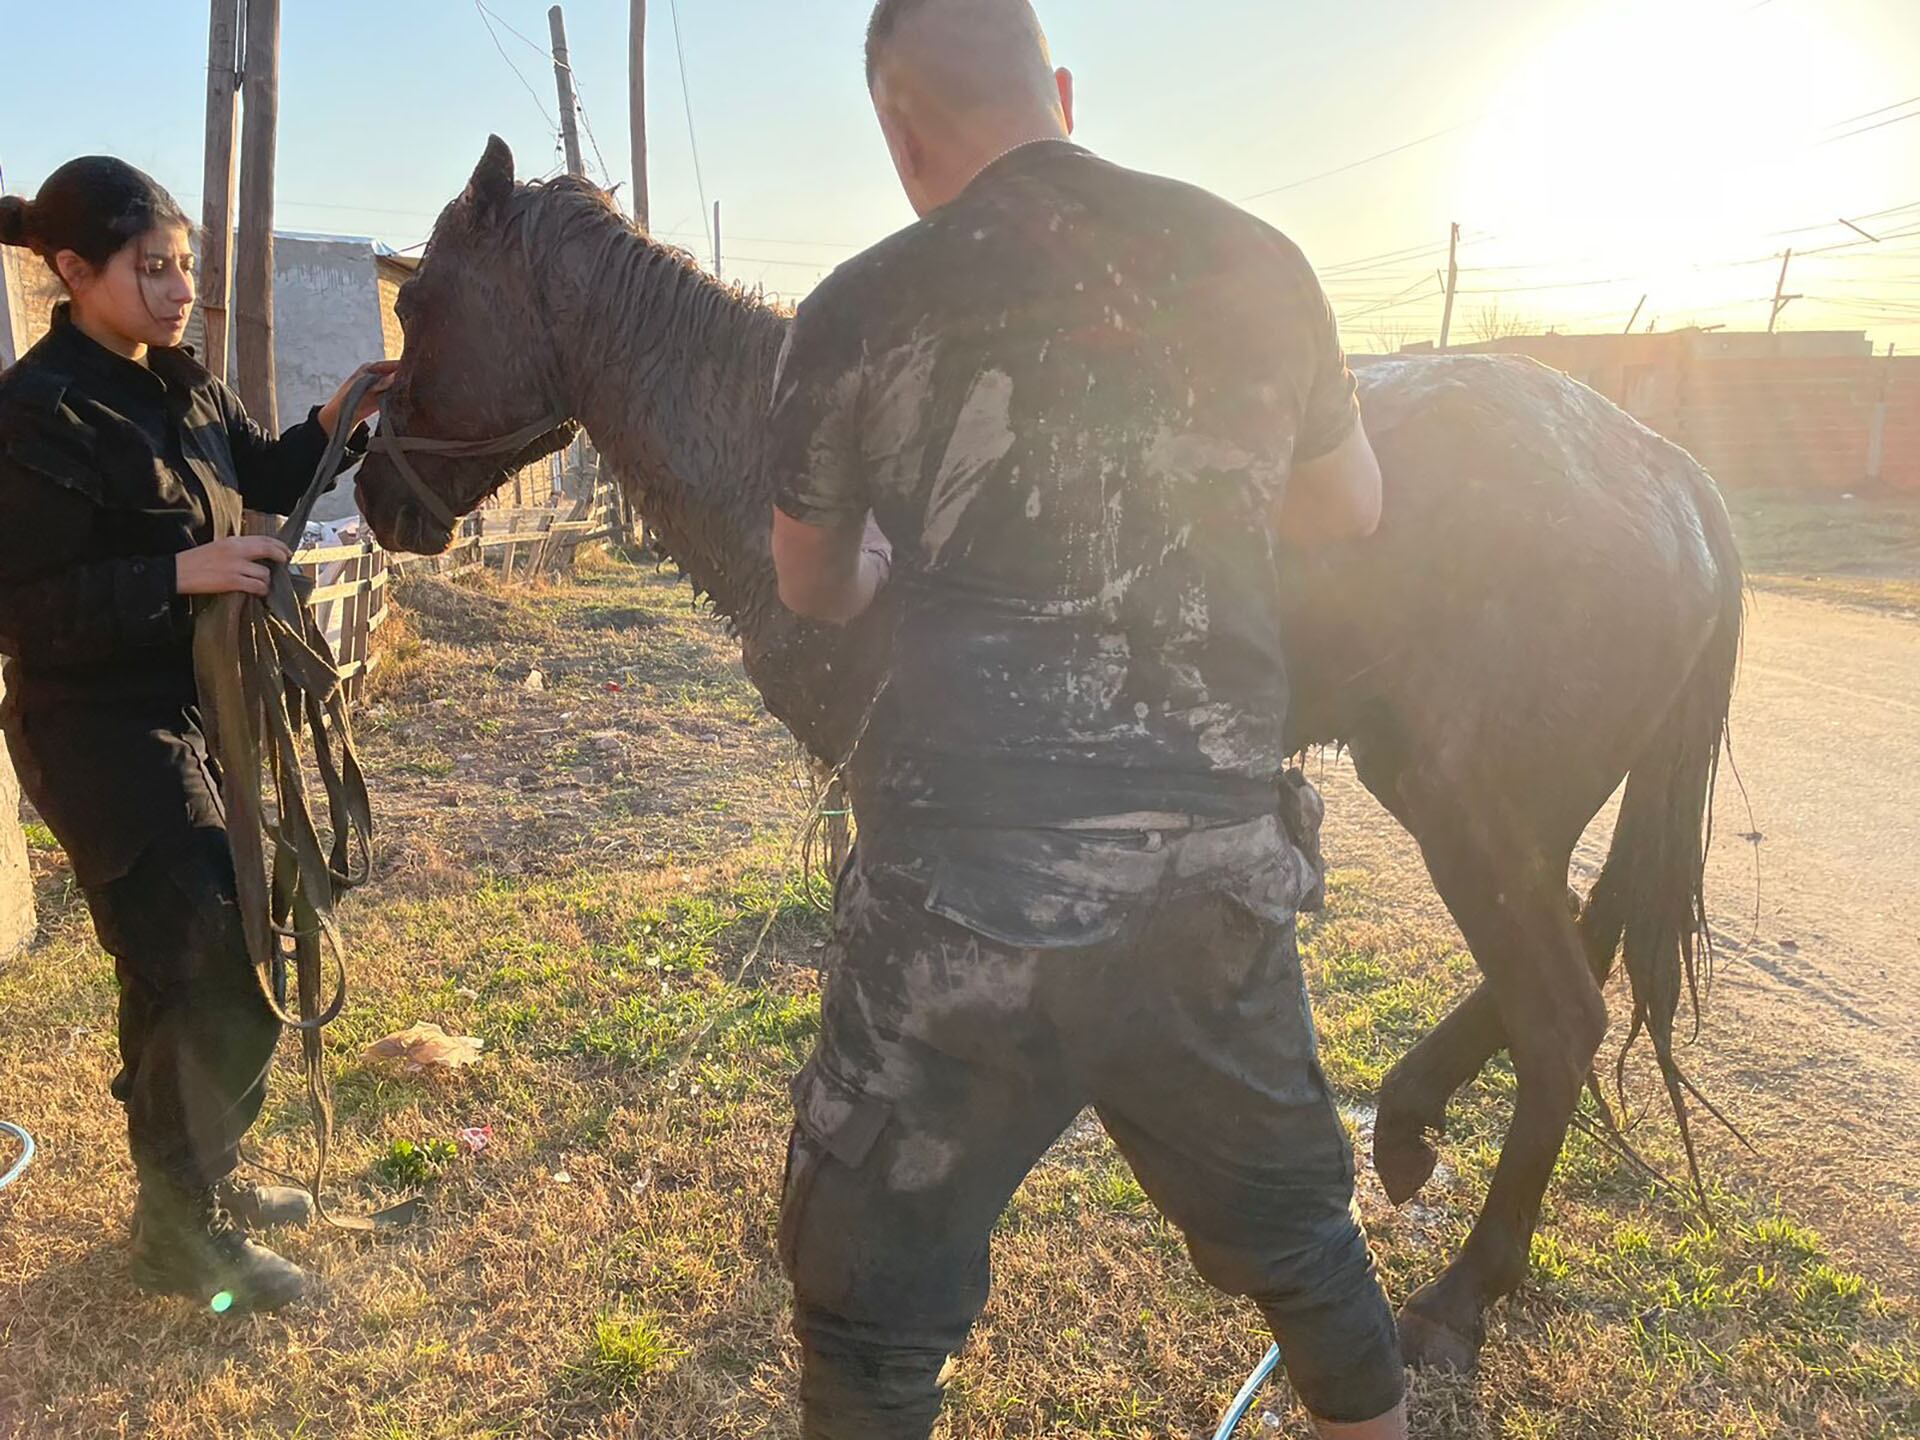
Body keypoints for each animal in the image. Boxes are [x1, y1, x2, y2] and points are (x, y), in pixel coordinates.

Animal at [353, 144, 1751, 1374]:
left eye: (419, 301)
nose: (371, 496)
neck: (784, 436)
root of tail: (1671, 471)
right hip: (1499, 812)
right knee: (1569, 967)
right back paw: (1407, 1130)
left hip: (1466, 807)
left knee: (1562, 1016)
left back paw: (1461, 1293)